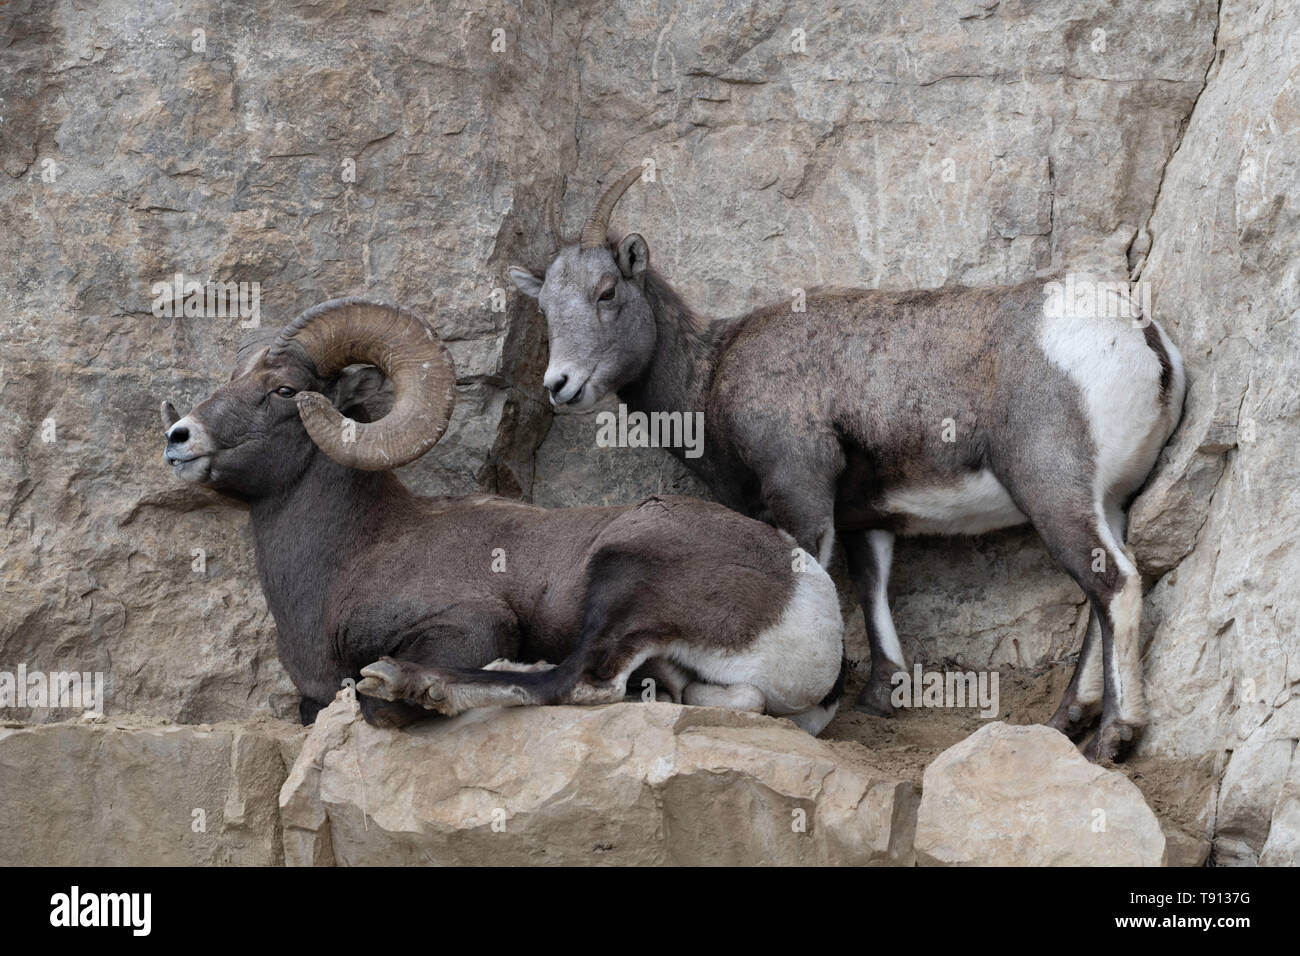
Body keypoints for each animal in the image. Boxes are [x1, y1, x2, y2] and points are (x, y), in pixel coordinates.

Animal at [159, 299, 842, 733]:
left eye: (281, 390)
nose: (178, 437)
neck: (354, 554)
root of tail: (810, 602)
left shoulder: (471, 623)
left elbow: (372, 704)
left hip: (626, 572)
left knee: (579, 681)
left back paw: (423, 680)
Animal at [506, 166, 1190, 764]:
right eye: (544, 309)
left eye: (606, 292)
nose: (560, 385)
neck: (712, 373)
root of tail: (1143, 338)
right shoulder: (870, 520)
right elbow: (870, 588)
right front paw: (881, 697)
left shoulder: (800, 493)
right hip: (1109, 503)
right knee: (1102, 597)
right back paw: (1066, 721)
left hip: (1052, 491)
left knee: (1114, 585)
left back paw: (1111, 739)